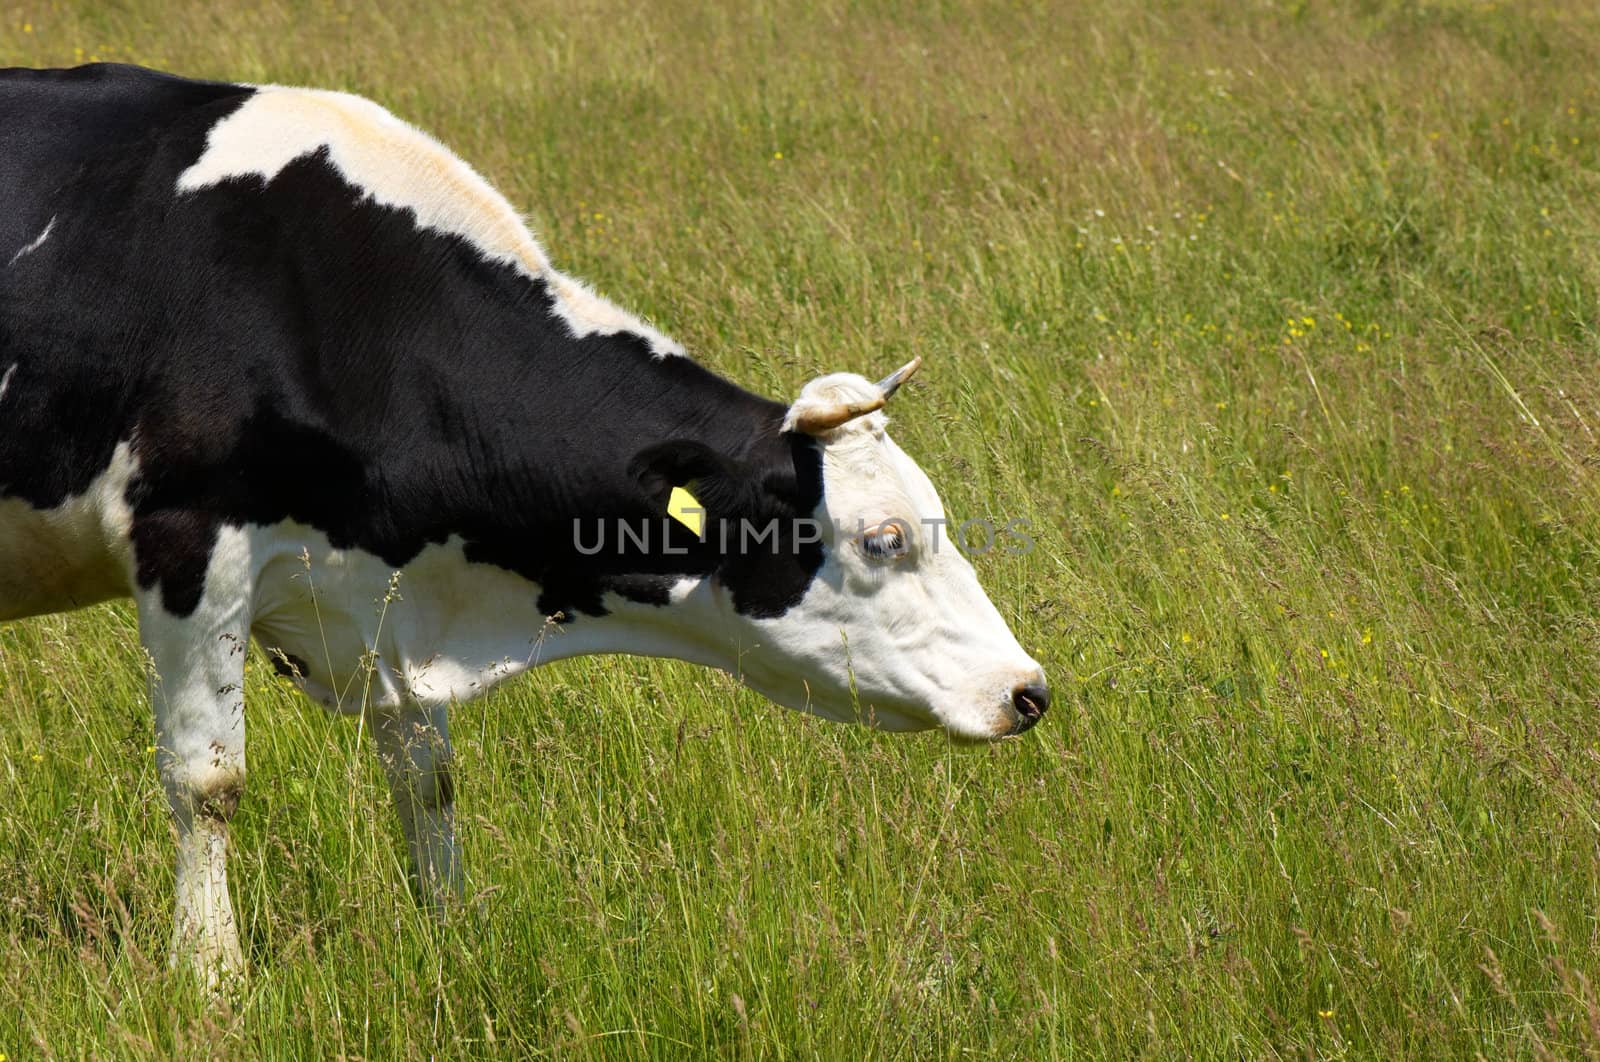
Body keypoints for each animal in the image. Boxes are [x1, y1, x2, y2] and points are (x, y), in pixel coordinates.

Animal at [0, 62, 1056, 985]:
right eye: (883, 539)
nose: (1028, 690)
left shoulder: (384, 602)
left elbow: (427, 781)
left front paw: (450, 931)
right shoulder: (188, 541)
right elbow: (206, 781)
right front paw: (211, 974)